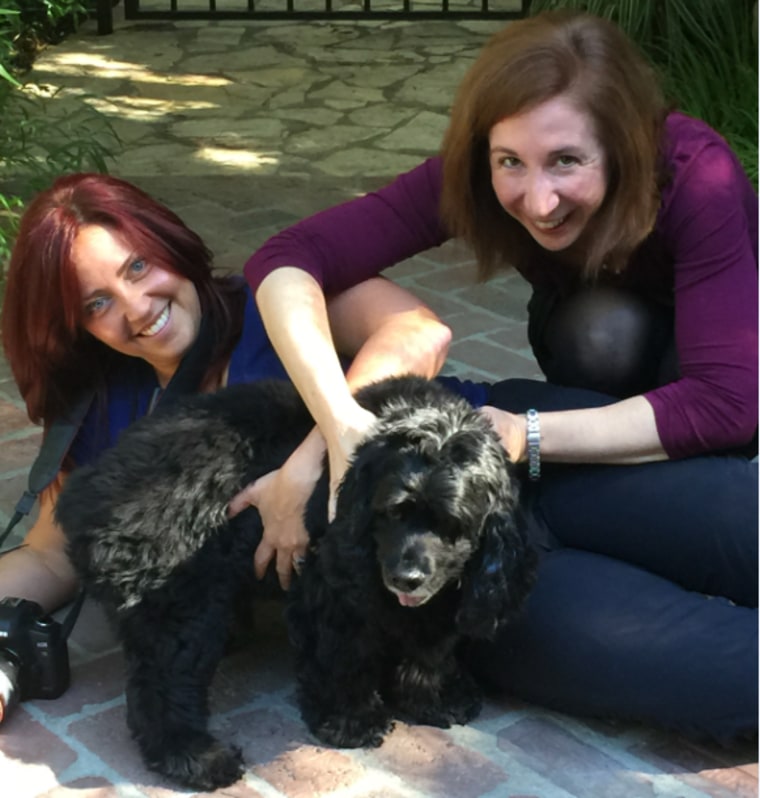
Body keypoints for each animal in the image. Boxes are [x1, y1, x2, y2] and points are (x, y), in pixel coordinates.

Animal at [55, 378, 536, 792]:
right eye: (392, 512)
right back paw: (199, 758)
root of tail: (81, 497)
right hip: (183, 608)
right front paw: (351, 720)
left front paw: (435, 696)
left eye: (453, 525)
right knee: (161, 687)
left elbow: (430, 648)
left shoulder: (443, 593)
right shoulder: (330, 586)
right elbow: (344, 655)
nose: (406, 577)